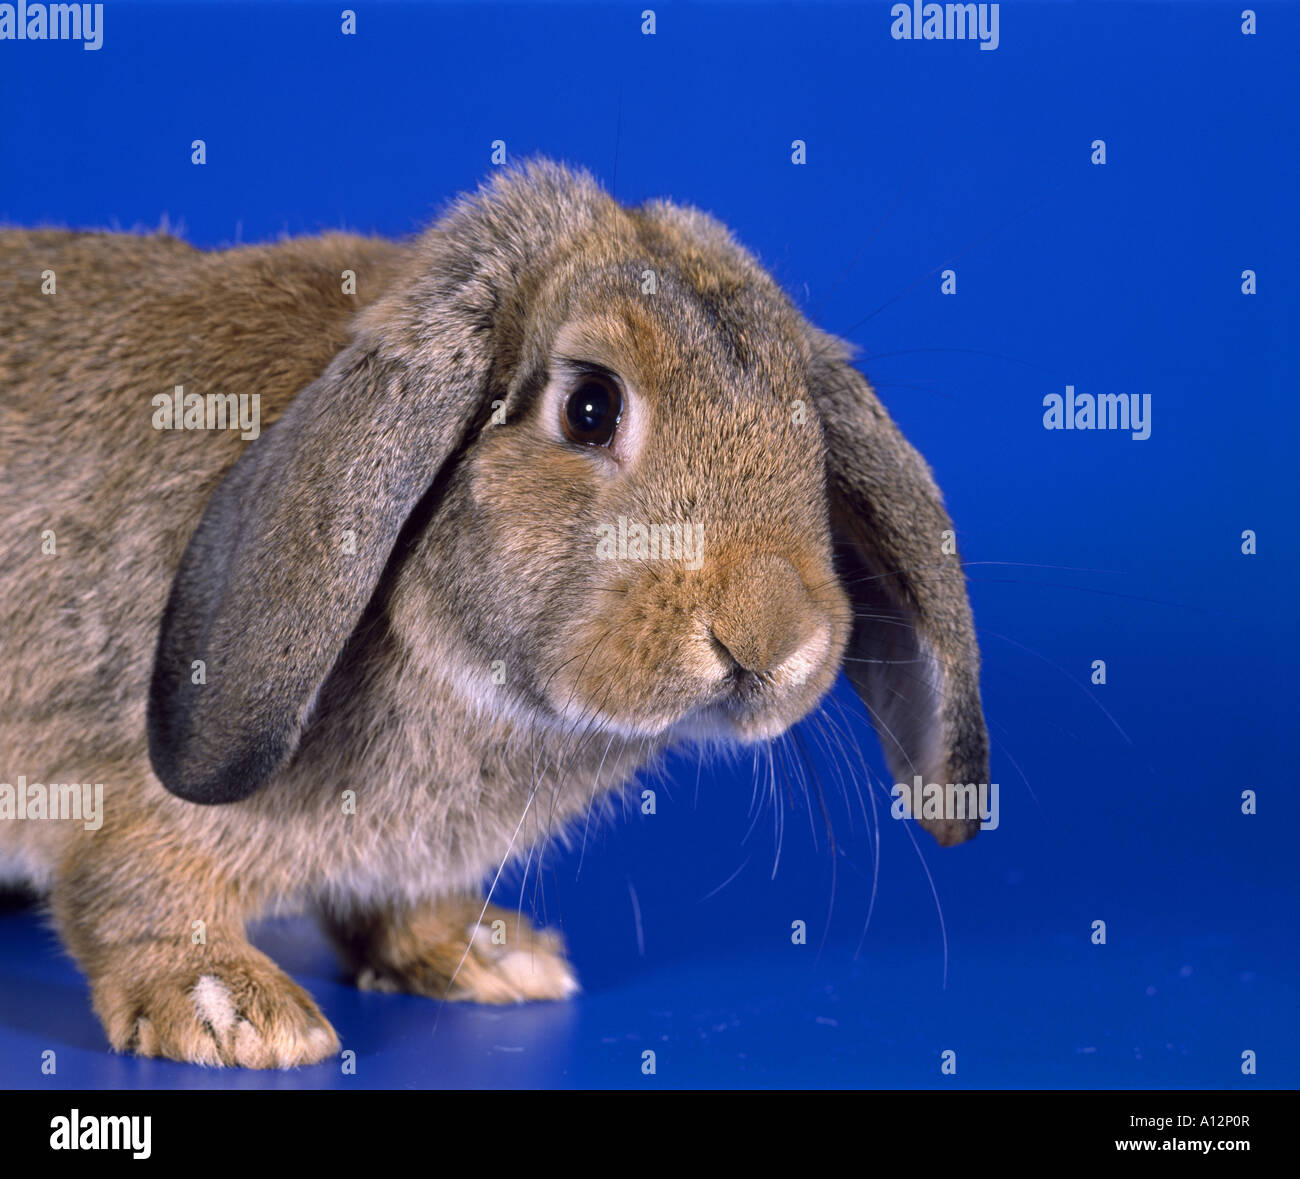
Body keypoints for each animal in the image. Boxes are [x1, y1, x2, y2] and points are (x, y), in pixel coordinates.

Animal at [0, 159, 989, 1068]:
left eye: (811, 437)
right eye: (590, 407)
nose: (773, 637)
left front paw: (491, 958)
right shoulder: (133, 812)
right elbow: (134, 895)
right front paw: (239, 1015)